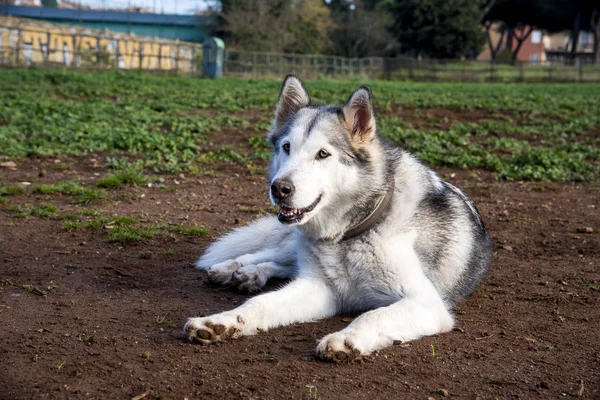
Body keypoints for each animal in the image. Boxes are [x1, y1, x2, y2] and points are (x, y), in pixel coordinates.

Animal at [184, 75, 492, 362]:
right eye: (287, 147)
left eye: (323, 154)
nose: (279, 188)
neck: (350, 234)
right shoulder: (318, 287)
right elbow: (258, 304)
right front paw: (220, 322)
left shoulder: (425, 302)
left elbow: (372, 315)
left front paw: (346, 339)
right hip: (293, 248)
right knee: (271, 254)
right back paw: (234, 268)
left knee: (283, 263)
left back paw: (250, 274)